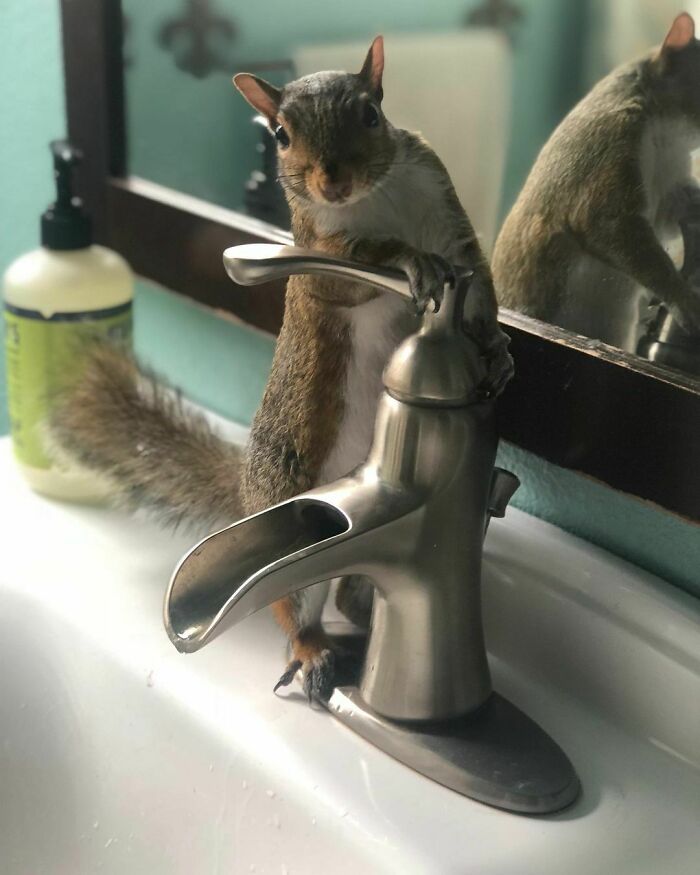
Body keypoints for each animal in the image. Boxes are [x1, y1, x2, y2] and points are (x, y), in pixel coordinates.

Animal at [50, 36, 513, 700]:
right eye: (281, 134)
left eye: (370, 113)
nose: (333, 179)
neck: (378, 198)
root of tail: (250, 497)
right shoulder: (317, 250)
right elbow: (353, 270)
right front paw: (409, 259)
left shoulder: (445, 213)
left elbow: (475, 282)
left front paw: (498, 347)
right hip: (291, 524)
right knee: (292, 606)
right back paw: (313, 651)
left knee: (349, 588)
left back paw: (365, 615)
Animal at [492, 12, 700, 341]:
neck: (667, 136)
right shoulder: (606, 145)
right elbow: (611, 225)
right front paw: (685, 302)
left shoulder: (669, 179)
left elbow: (667, 219)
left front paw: (694, 200)